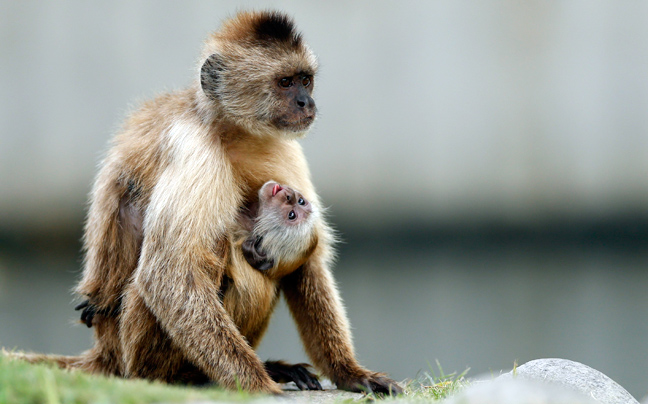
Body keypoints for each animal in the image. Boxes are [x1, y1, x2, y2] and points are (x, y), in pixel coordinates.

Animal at [52, 8, 400, 394]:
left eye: (305, 81)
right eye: (285, 83)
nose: (306, 103)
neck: (230, 130)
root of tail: (107, 353)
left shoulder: (283, 150)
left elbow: (306, 262)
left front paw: (347, 372)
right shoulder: (193, 146)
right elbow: (168, 275)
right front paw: (258, 385)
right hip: (132, 356)